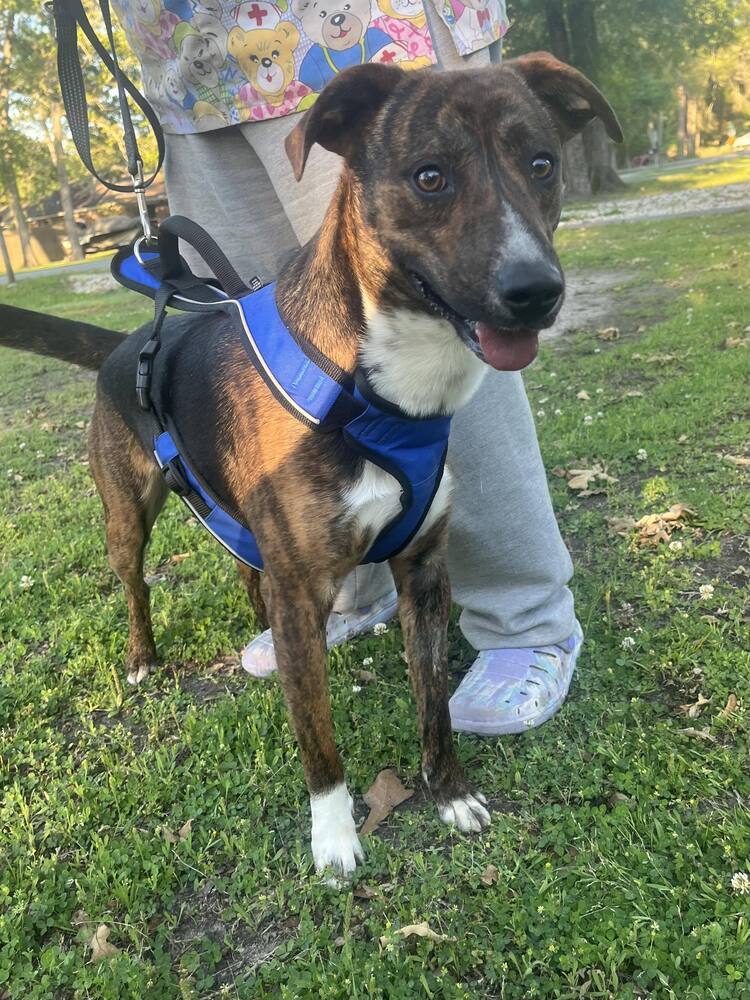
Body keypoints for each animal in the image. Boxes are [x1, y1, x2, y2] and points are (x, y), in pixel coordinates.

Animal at [1, 52, 624, 876]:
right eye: (430, 177)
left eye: (543, 164)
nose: (536, 291)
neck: (377, 384)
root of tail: (127, 340)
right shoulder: (301, 588)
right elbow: (318, 737)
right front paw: (333, 836)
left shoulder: (424, 571)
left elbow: (433, 700)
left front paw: (448, 790)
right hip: (127, 512)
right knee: (134, 583)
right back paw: (142, 656)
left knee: (242, 565)